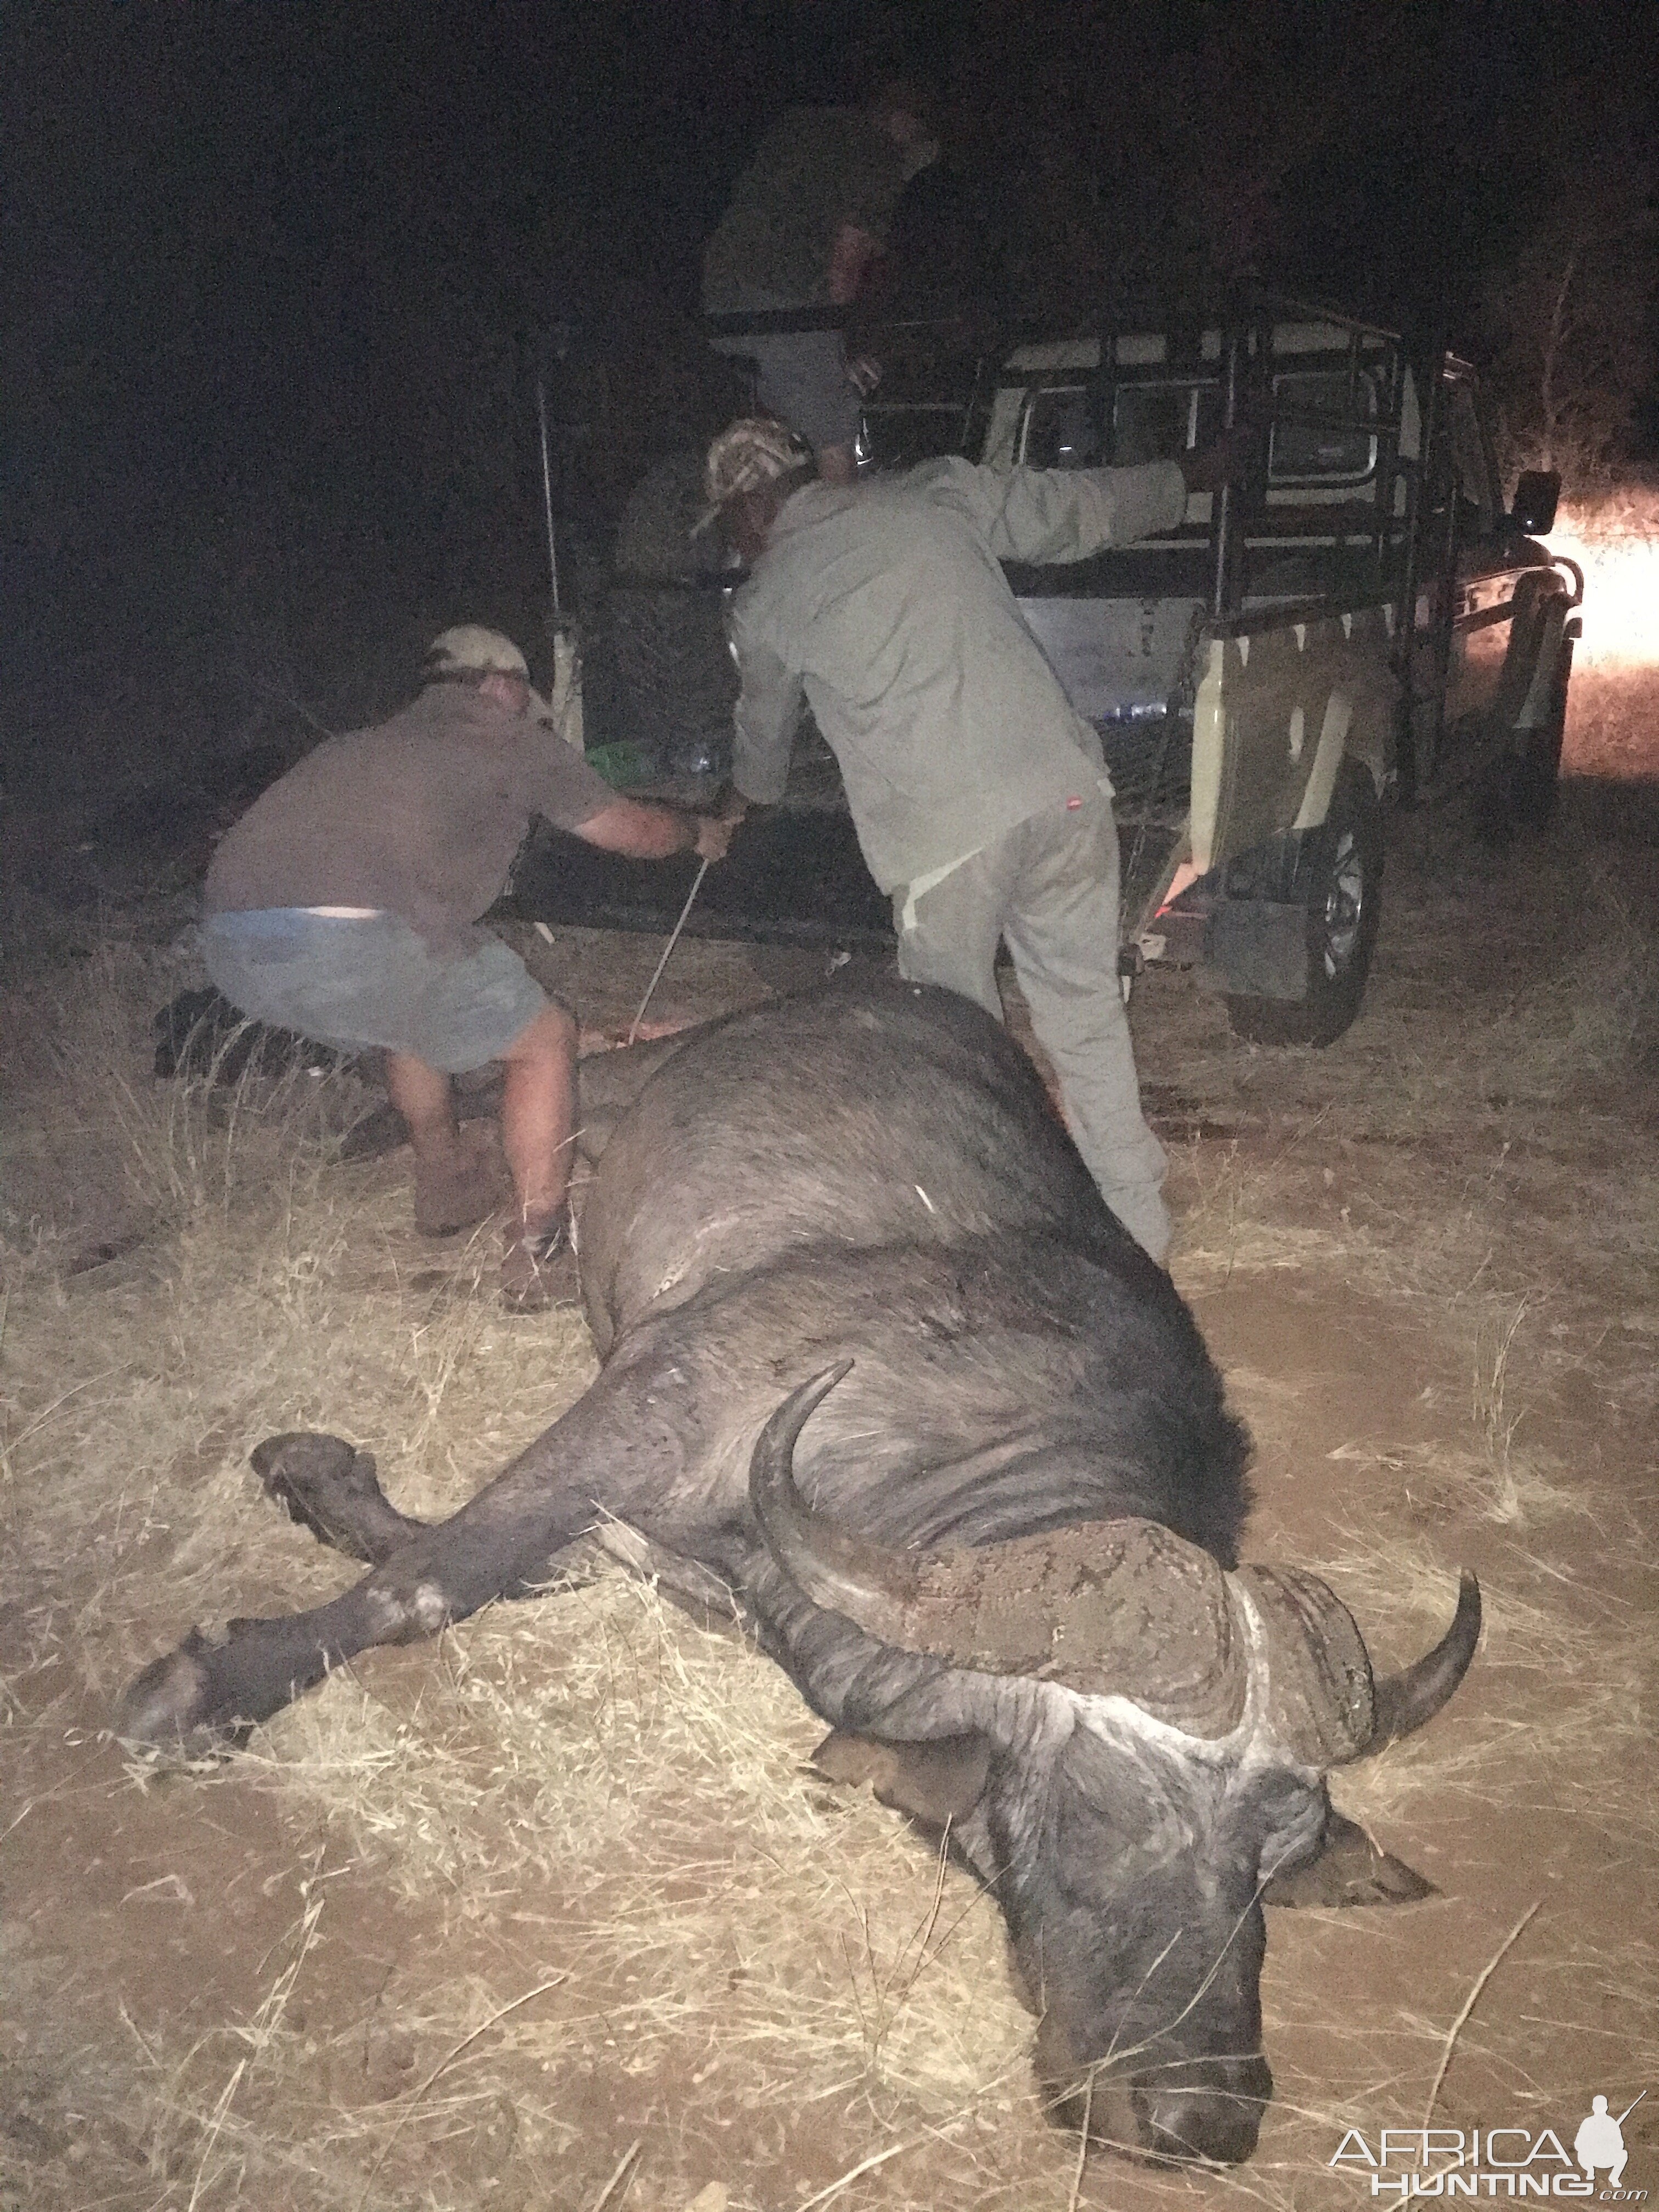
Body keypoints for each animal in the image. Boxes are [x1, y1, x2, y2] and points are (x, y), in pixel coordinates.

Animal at [120, 982, 1477, 2159]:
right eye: (1108, 1808)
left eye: (1272, 1865)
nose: (1205, 2121)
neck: (972, 1439)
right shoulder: (652, 1406)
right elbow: (435, 1576)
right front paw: (210, 1687)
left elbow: (494, 1556)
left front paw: (320, 1489)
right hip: (620, 1078)